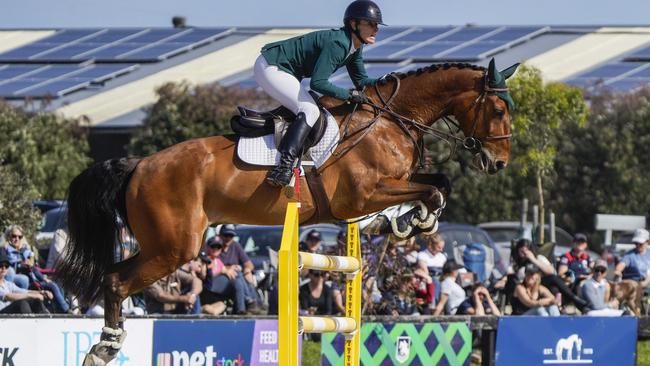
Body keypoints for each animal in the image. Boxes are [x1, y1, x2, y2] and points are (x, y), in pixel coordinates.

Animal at [58, 58, 520, 364]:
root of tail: (137, 164)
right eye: (498, 110)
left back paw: (106, 345)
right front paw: (412, 220)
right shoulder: (363, 196)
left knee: (113, 276)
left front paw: (409, 222)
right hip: (175, 247)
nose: (498, 163)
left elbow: (438, 183)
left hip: (163, 244)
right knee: (116, 282)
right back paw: (105, 347)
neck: (391, 120)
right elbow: (433, 191)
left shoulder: (390, 186)